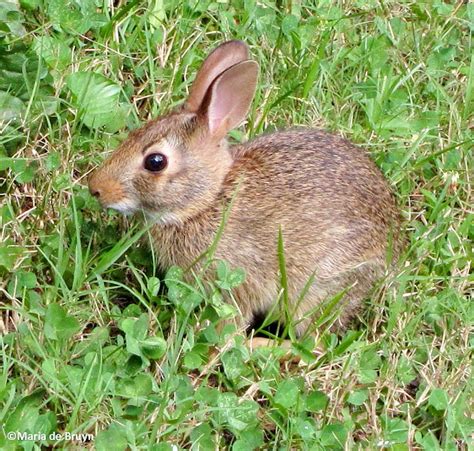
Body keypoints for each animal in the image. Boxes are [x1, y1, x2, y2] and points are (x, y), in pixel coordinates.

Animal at [88, 40, 400, 340]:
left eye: (155, 162)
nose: (96, 188)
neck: (207, 201)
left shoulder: (238, 280)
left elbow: (231, 323)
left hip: (318, 289)